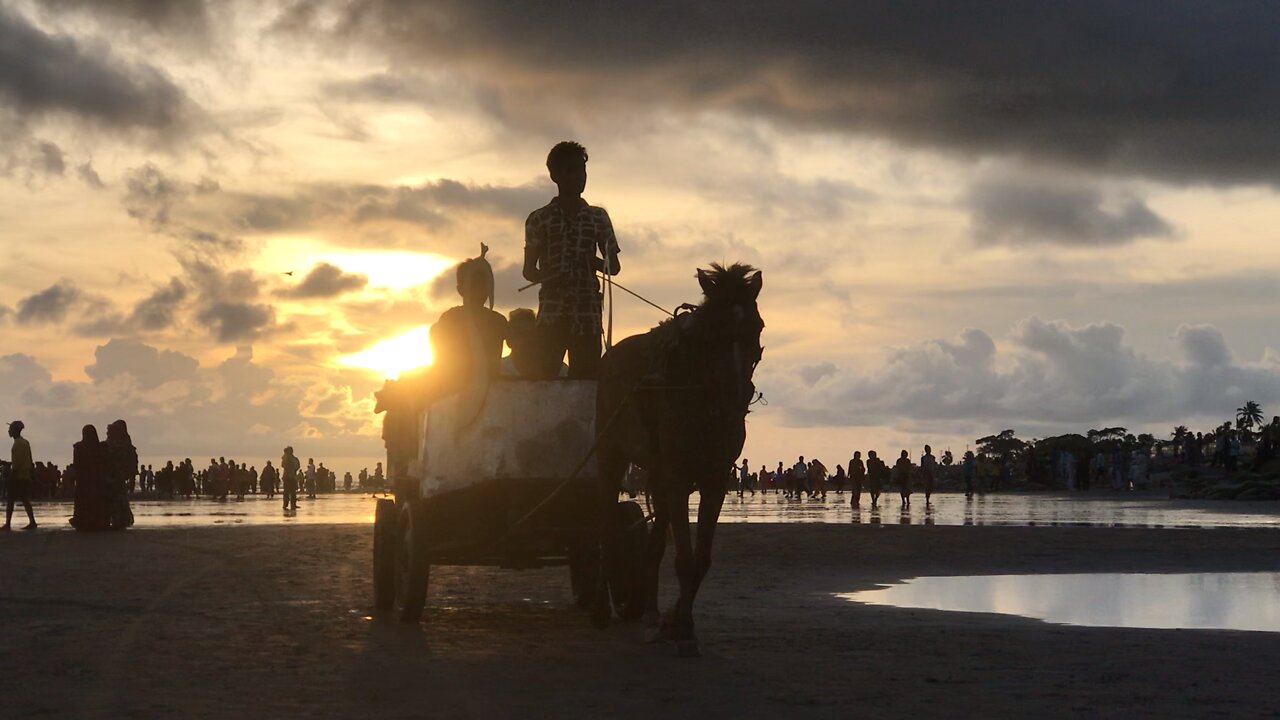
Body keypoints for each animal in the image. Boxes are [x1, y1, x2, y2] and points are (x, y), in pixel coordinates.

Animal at [588, 260, 757, 653]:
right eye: (715, 330)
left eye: (756, 326)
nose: (738, 393)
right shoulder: (678, 477)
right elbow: (684, 558)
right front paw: (680, 627)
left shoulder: (715, 480)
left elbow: (701, 559)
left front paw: (676, 621)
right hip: (611, 454)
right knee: (605, 524)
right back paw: (601, 608)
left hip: (657, 471)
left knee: (652, 545)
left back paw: (651, 613)